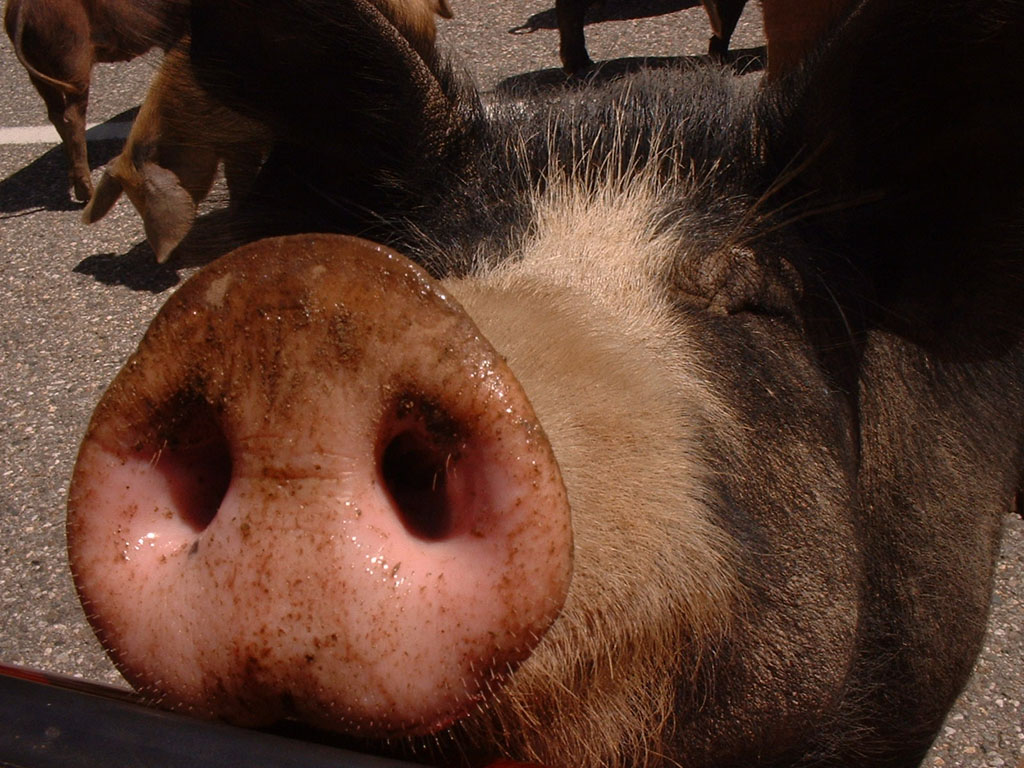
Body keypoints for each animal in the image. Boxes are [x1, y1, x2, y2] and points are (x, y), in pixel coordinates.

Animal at [4, 0, 188, 201]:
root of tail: (22, 9)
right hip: (73, 63)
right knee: (72, 116)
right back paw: (87, 193)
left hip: (41, 74)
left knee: (55, 114)